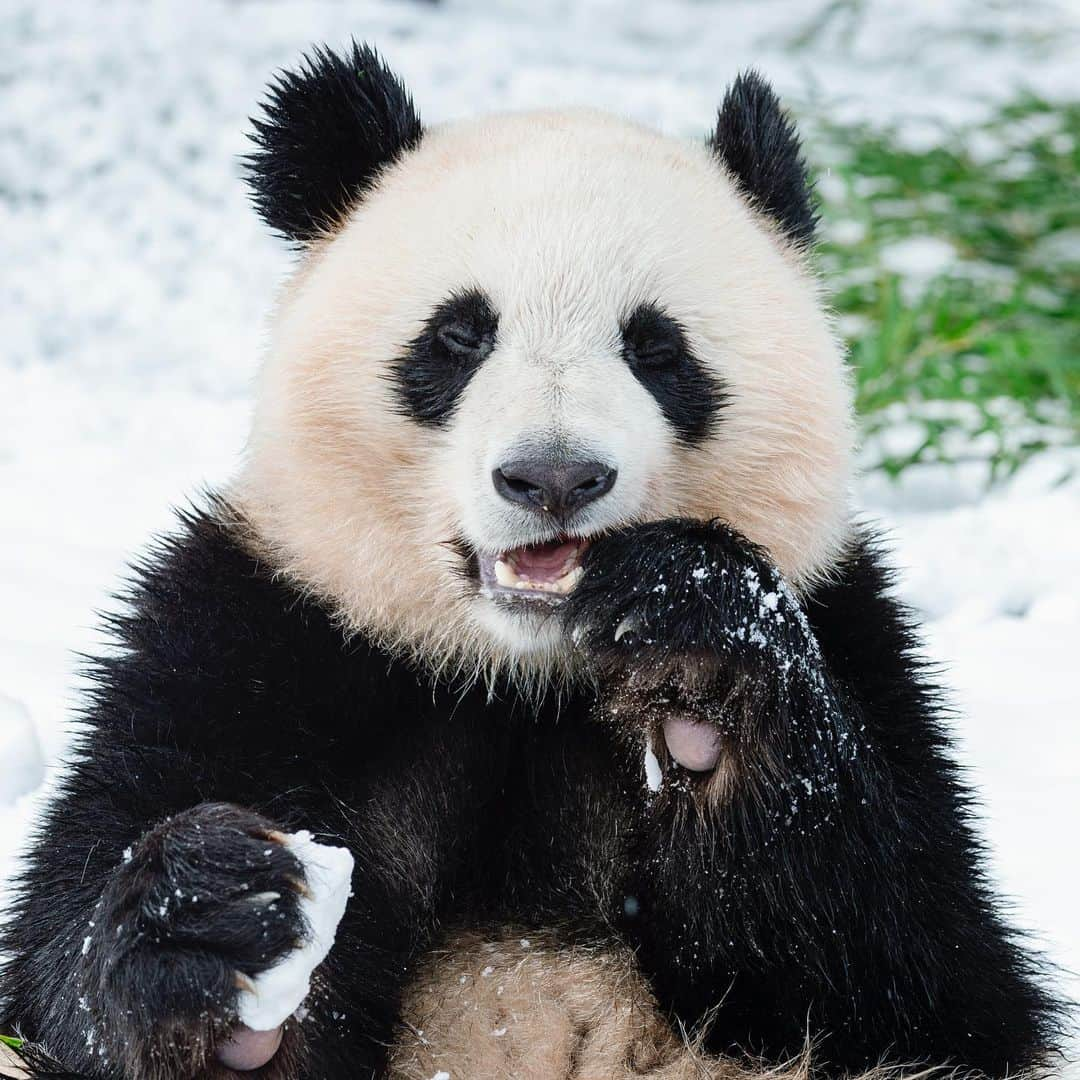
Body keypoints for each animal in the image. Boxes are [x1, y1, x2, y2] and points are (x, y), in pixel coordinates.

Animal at [0, 39, 1062, 1080]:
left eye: (657, 349)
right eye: (459, 334)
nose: (554, 476)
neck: (522, 678)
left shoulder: (854, 629)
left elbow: (920, 978)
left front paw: (698, 660)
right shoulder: (251, 634)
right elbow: (66, 958)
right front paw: (214, 927)